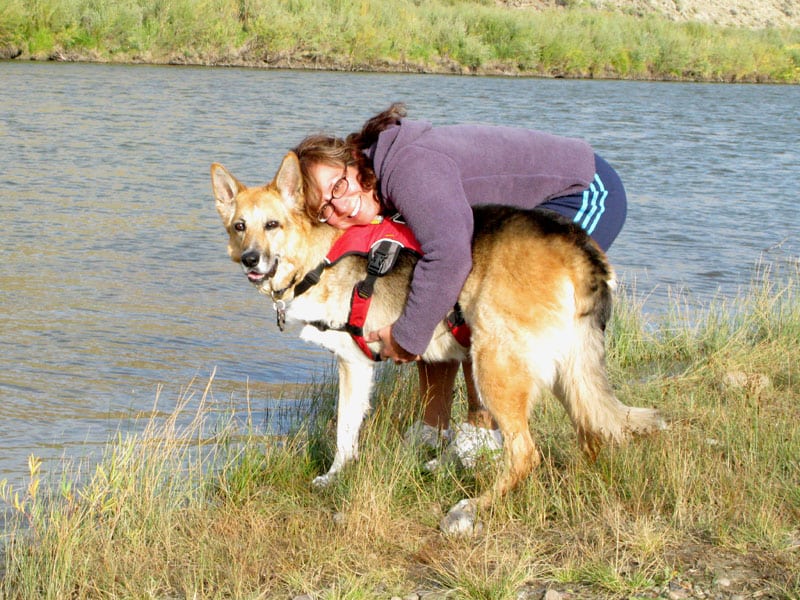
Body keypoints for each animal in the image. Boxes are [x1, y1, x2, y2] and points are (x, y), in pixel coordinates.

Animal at [209, 154, 664, 536]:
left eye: (272, 225)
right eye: (239, 226)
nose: (250, 260)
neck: (316, 257)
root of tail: (576, 243)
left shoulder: (353, 364)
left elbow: (343, 431)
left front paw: (334, 477)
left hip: (494, 364)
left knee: (525, 454)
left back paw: (472, 507)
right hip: (566, 372)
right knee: (592, 430)